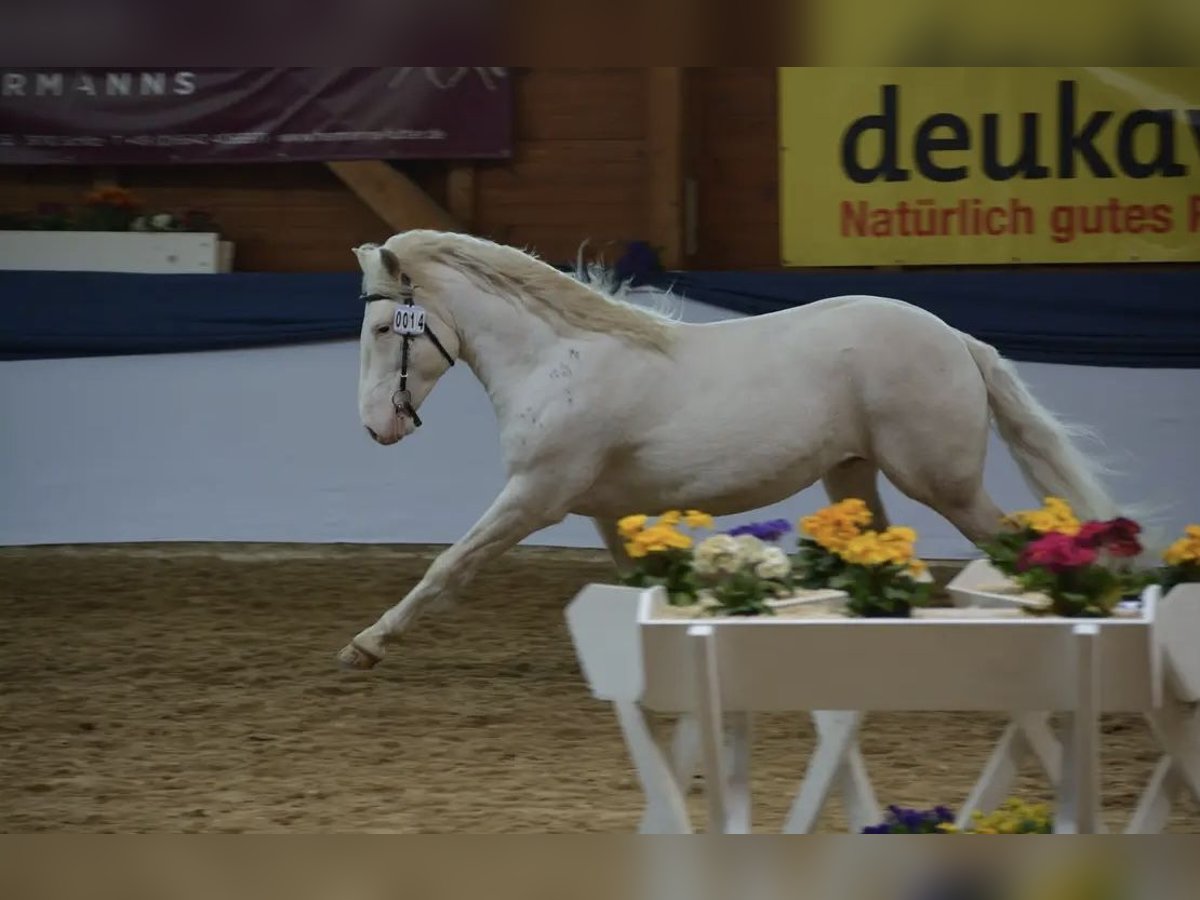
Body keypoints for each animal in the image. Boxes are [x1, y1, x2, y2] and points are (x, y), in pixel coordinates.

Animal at [336, 232, 1113, 672]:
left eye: (382, 328)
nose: (375, 427)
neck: (558, 359)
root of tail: (956, 338)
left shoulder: (536, 494)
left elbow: (448, 566)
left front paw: (365, 645)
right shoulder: (603, 508)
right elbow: (645, 581)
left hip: (943, 482)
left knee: (1014, 545)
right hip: (852, 478)